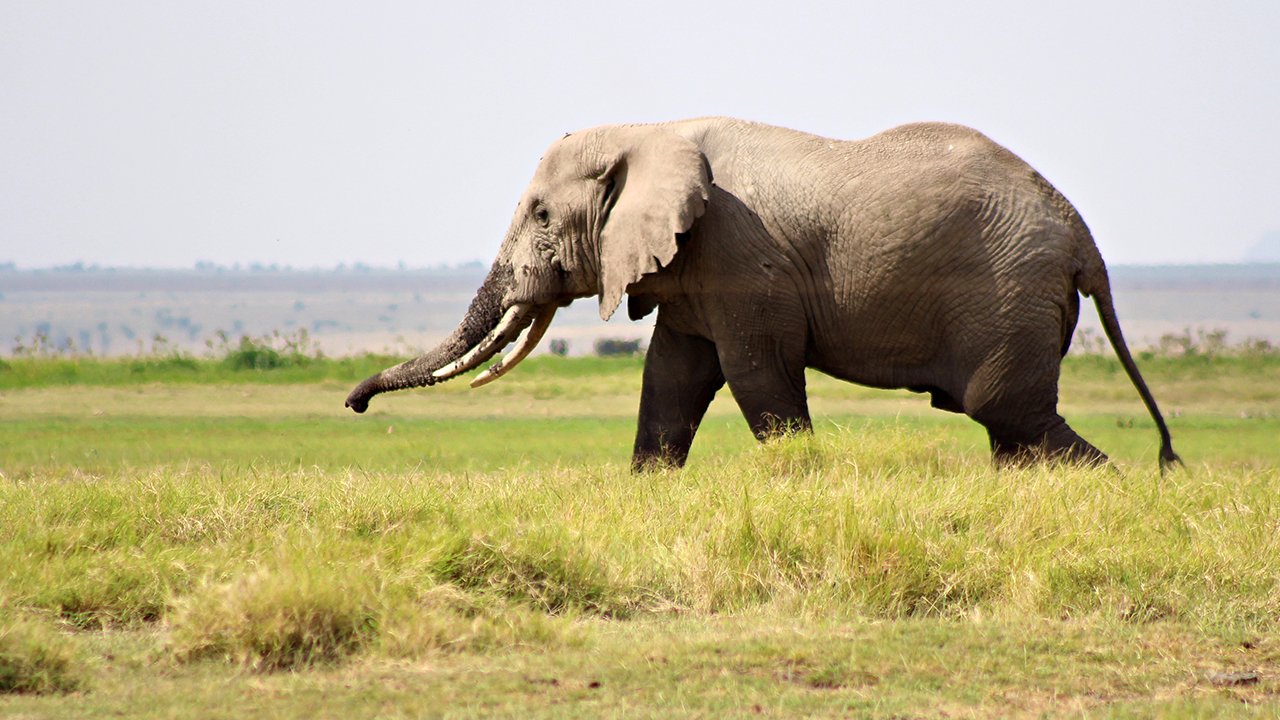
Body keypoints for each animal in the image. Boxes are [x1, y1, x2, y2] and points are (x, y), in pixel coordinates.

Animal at [348, 114, 1177, 468]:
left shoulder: (744, 257)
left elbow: (756, 378)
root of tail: (1081, 236)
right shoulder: (693, 270)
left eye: (543, 216)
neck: (651, 129)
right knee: (1013, 431)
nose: (354, 405)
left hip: (1011, 290)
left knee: (1007, 413)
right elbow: (670, 381)